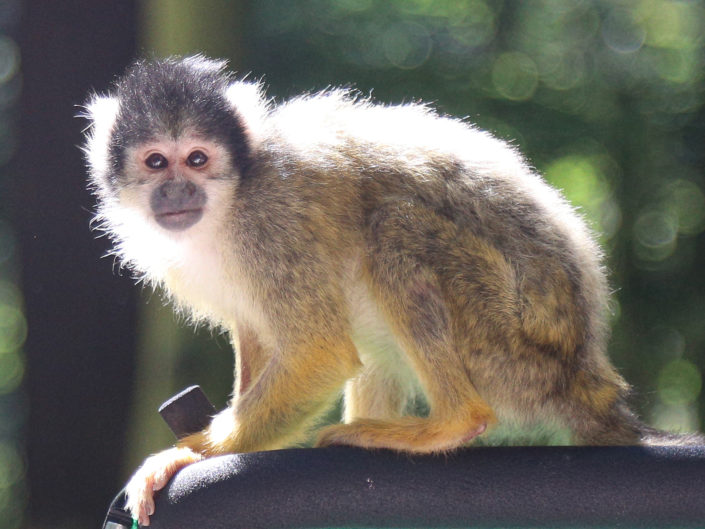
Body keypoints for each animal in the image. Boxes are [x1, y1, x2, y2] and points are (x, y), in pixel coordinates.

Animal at [82, 56, 703, 526]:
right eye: (156, 162)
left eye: (197, 159)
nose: (176, 192)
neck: (231, 201)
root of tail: (587, 377)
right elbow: (263, 335)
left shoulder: (272, 224)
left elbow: (318, 354)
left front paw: (187, 455)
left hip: (511, 350)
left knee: (392, 230)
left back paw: (450, 423)